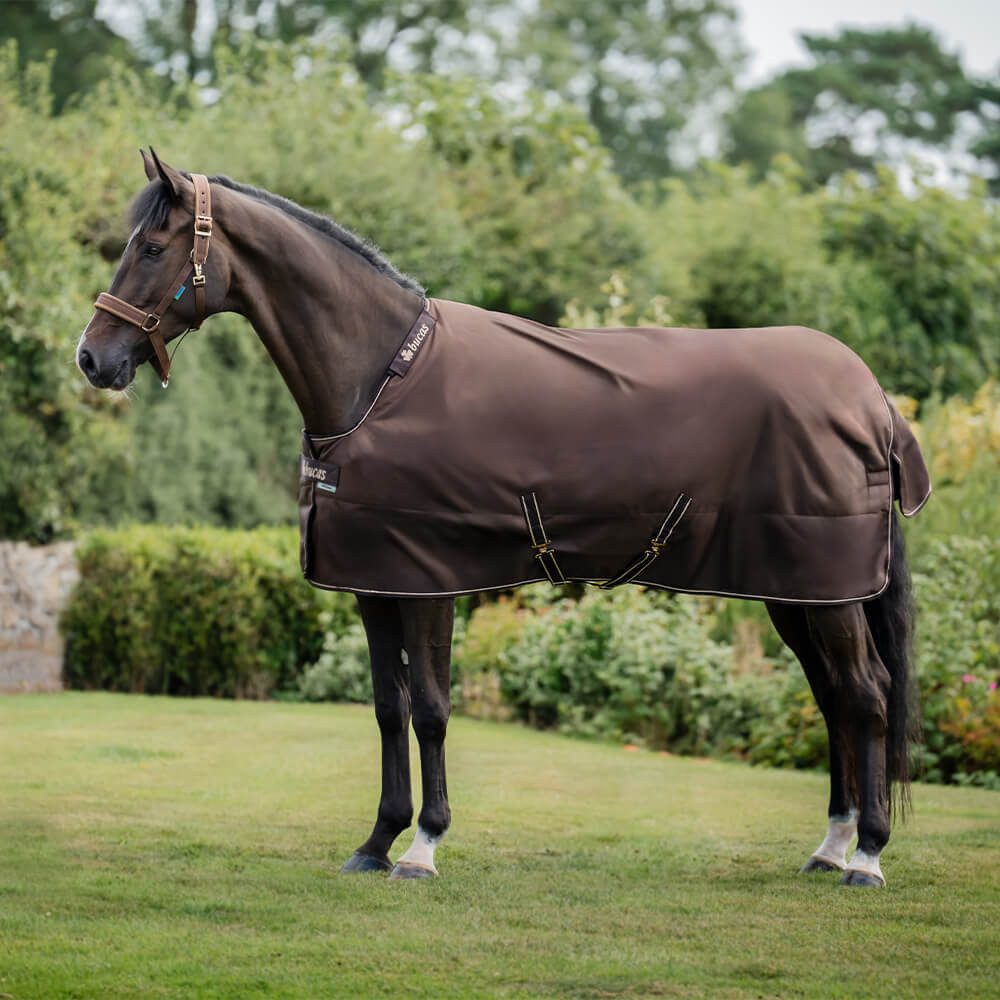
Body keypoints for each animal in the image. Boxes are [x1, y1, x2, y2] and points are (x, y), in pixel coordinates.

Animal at [76, 151, 931, 888]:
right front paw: (376, 841)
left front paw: (423, 846)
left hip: (828, 593)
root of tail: (874, 402)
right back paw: (830, 846)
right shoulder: (373, 584)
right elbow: (386, 710)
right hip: (800, 593)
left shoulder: (428, 583)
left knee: (866, 694)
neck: (380, 377)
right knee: (834, 698)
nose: (92, 359)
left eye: (152, 247)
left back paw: (867, 857)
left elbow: (431, 709)